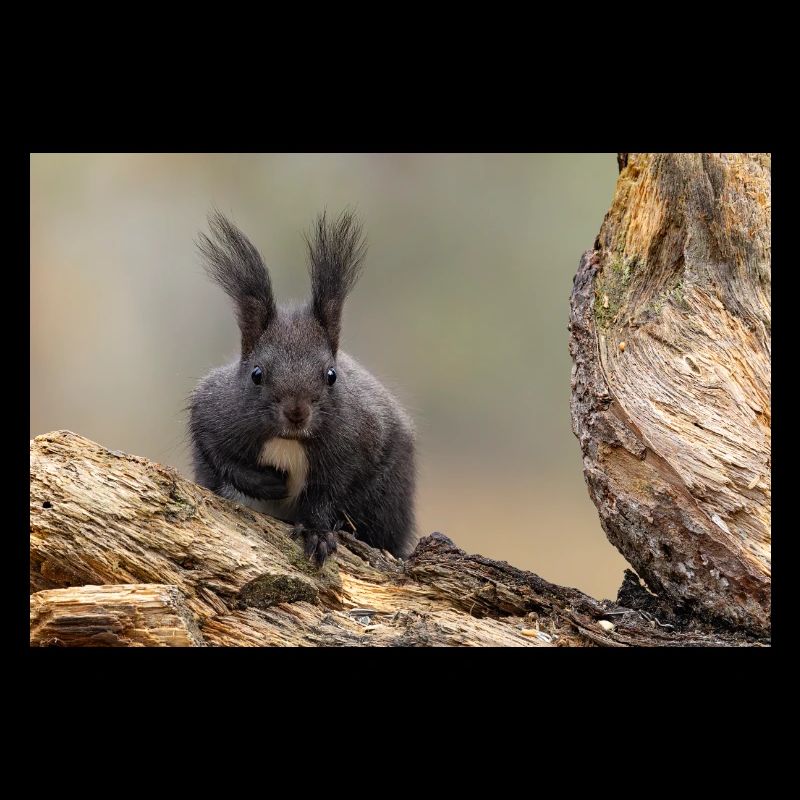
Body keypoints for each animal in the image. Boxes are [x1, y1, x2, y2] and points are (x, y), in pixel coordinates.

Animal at [188, 209, 416, 566]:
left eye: (331, 375)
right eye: (256, 374)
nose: (296, 413)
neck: (289, 440)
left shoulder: (358, 441)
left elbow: (329, 491)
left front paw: (318, 532)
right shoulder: (212, 411)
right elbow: (217, 454)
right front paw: (269, 485)